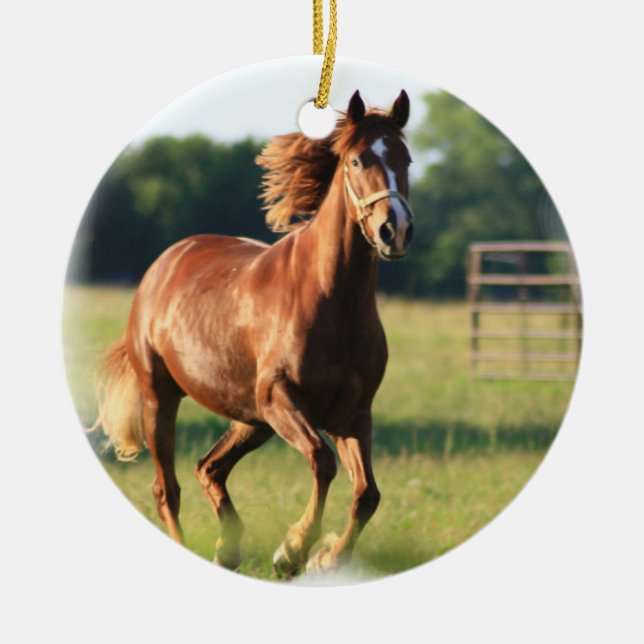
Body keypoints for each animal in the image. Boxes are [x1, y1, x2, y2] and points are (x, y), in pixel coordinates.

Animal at [92, 90, 414, 577]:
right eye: (358, 160)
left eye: (407, 160)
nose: (394, 230)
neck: (330, 301)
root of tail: (164, 263)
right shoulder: (280, 396)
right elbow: (322, 462)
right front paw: (294, 549)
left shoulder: (353, 414)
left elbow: (367, 494)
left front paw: (327, 557)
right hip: (164, 398)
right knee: (168, 489)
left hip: (251, 418)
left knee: (209, 468)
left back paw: (228, 550)